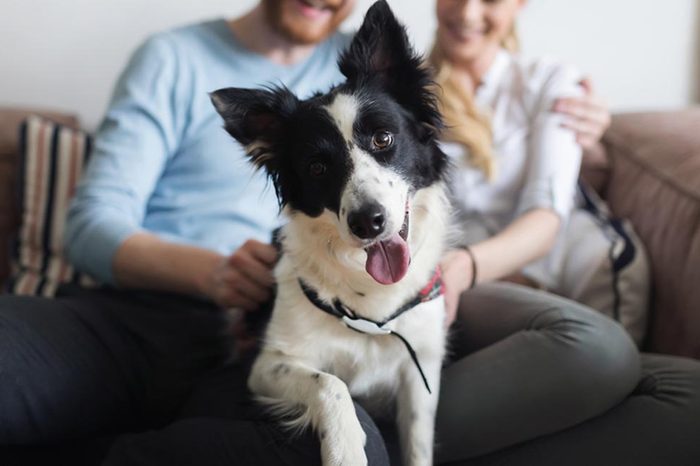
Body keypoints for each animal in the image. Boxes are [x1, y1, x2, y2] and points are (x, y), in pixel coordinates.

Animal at [211, 1, 452, 464]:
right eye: (317, 168)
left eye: (383, 138)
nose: (367, 222)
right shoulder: (269, 364)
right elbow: (330, 384)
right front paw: (345, 448)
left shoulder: (420, 372)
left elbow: (418, 443)